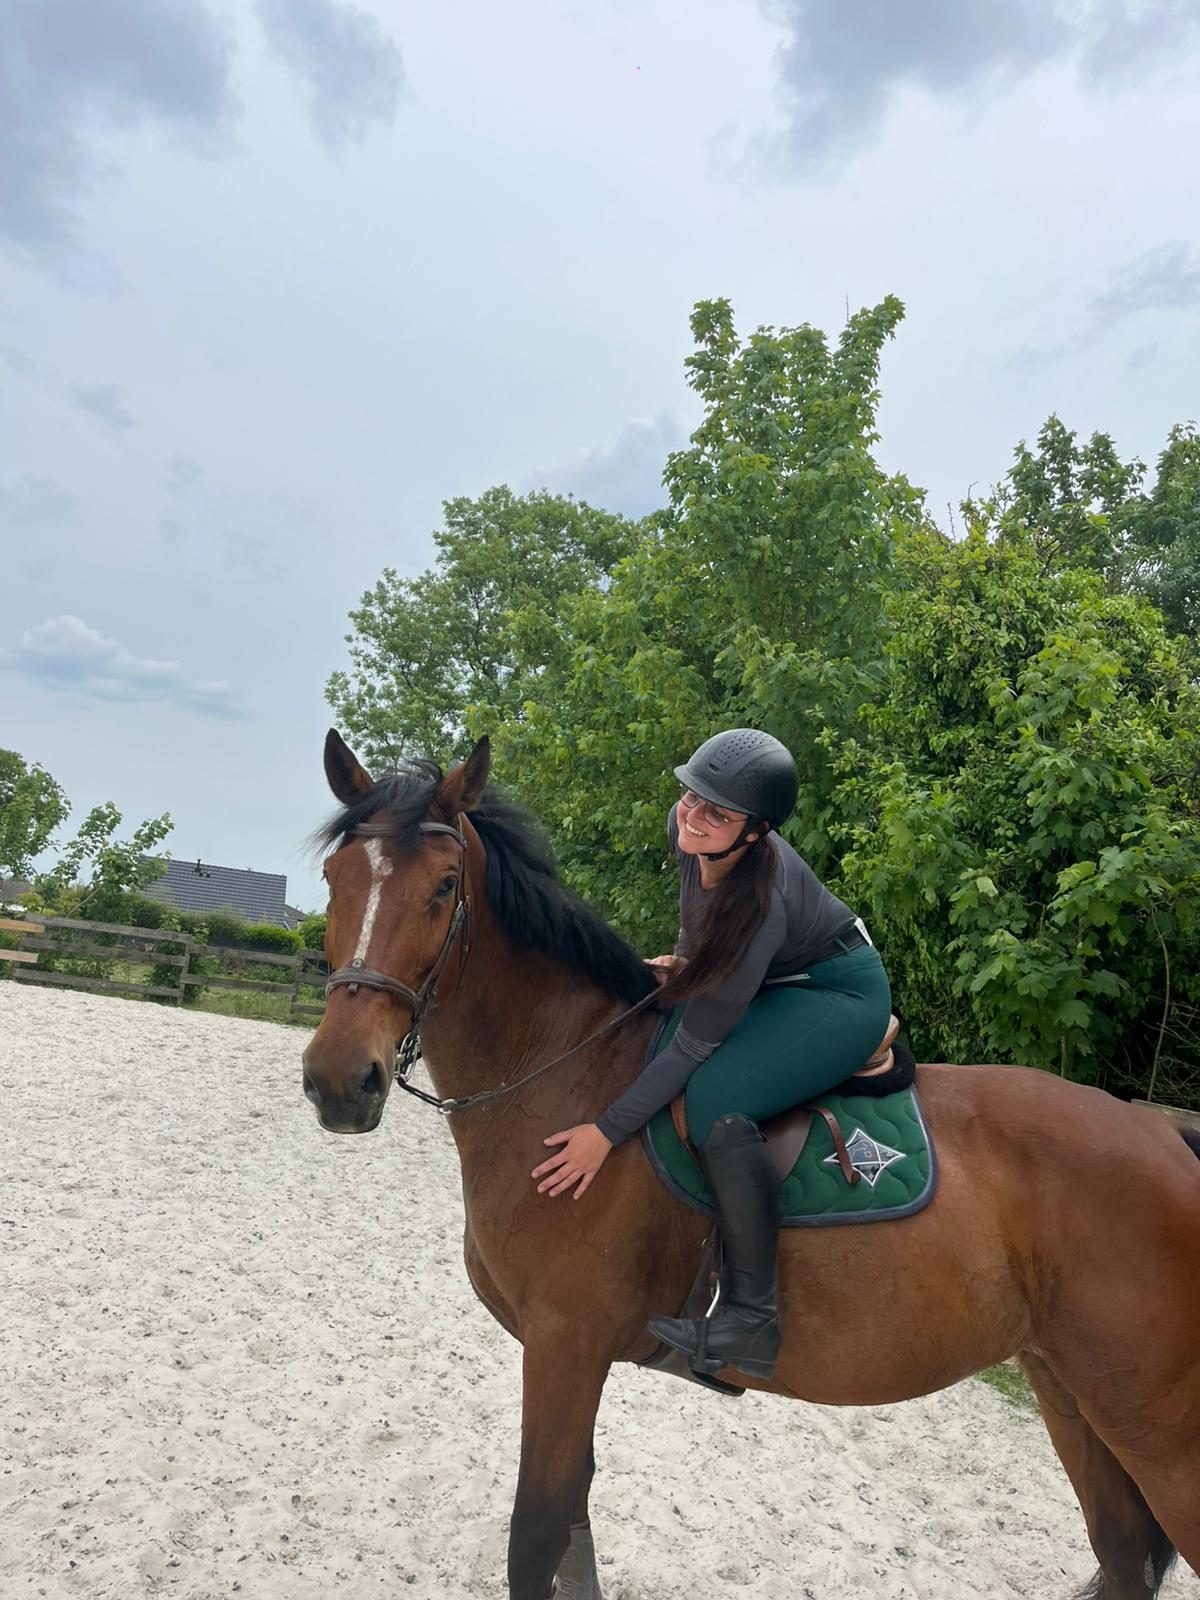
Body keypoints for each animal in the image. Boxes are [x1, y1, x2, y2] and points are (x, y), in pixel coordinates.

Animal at [301, 730, 1200, 1600]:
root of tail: (1166, 1138)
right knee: (1124, 1558)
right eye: (334, 877)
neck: (570, 1073)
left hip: (1161, 1434)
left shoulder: (564, 1349)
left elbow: (537, 1539)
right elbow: (576, 1531)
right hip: (1070, 1395)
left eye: (446, 886)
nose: (340, 1082)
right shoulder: (571, 1361)